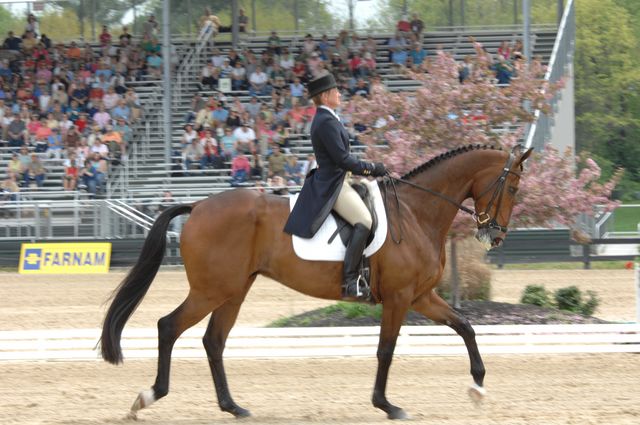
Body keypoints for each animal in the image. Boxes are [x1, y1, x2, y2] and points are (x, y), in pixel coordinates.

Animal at [99, 142, 528, 418]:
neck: (416, 212)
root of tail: (198, 205)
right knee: (169, 326)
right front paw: (386, 405)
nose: (496, 235)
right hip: (210, 290)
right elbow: (386, 350)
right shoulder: (400, 297)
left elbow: (465, 326)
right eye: (512, 186)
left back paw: (233, 407)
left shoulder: (420, 295)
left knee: (213, 341)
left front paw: (478, 388)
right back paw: (149, 396)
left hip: (234, 290)